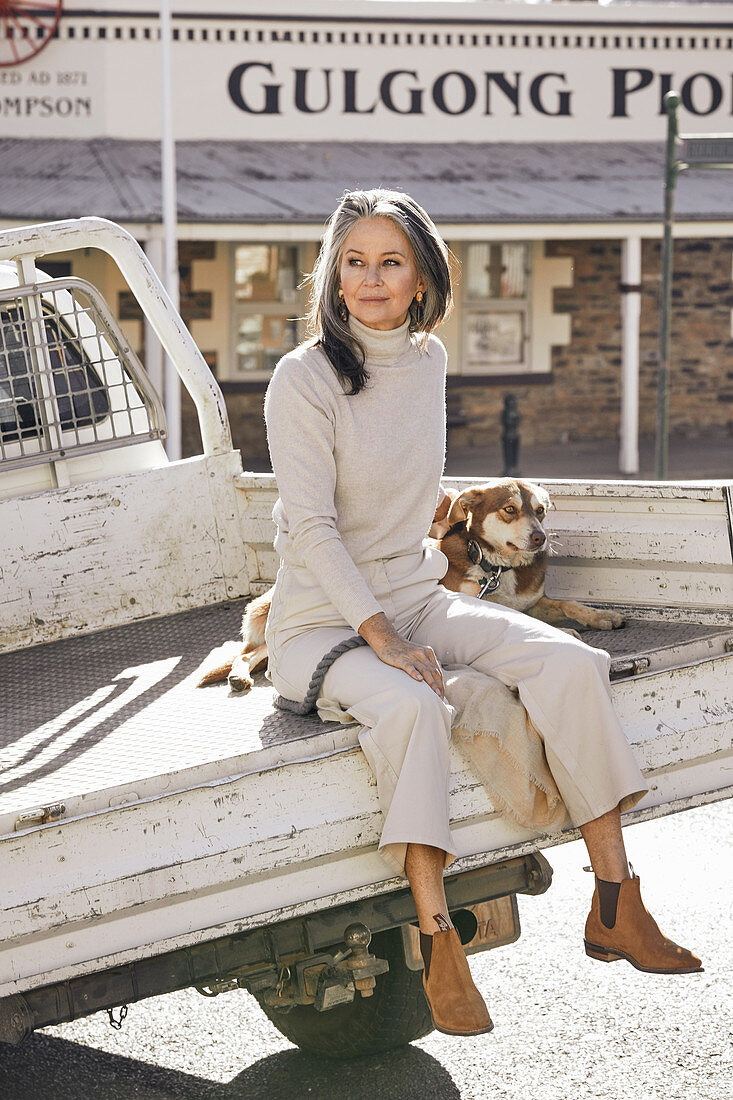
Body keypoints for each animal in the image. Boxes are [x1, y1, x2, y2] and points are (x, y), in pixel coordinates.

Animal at [198, 477, 620, 690]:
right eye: (509, 509)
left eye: (541, 511)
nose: (540, 539)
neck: (500, 568)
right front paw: (569, 632)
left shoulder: (533, 600)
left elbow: (566, 604)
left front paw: (601, 616)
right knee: (250, 653)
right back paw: (238, 675)